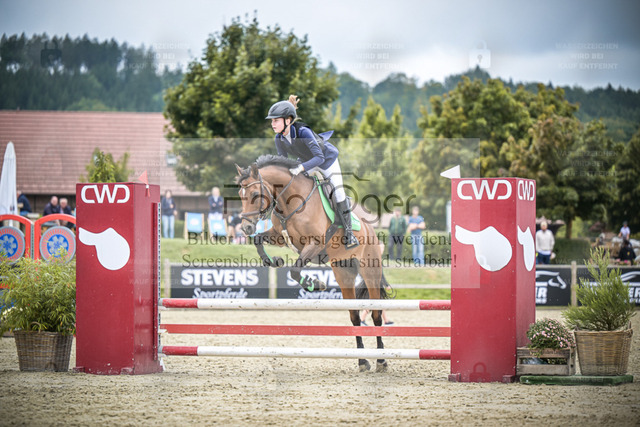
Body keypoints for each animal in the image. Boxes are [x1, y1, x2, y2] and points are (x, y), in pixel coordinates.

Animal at [235, 154, 391, 372]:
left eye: (256, 193)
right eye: (239, 194)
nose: (246, 227)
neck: (291, 201)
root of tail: (372, 230)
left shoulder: (314, 243)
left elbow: (294, 270)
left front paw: (315, 284)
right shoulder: (279, 237)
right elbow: (259, 241)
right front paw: (274, 261)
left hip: (371, 271)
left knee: (376, 313)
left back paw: (381, 360)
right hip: (344, 273)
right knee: (354, 316)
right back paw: (362, 361)